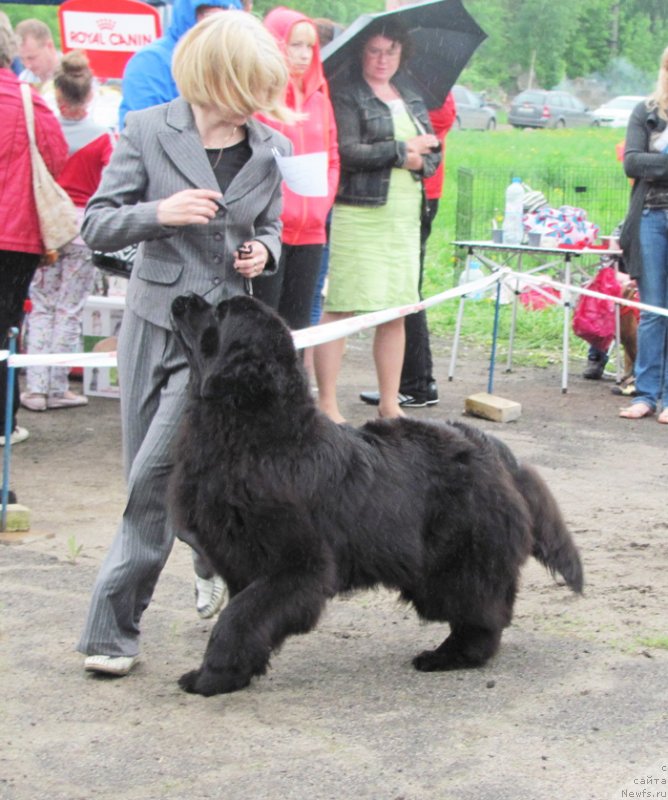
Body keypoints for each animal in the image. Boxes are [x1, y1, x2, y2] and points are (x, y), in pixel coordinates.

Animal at [170, 292, 580, 692]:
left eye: (220, 313)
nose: (182, 297)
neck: (252, 438)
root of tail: (489, 445)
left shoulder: (296, 566)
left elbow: (238, 618)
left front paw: (210, 678)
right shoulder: (240, 558)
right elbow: (244, 617)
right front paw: (237, 673)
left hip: (459, 564)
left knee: (482, 614)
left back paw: (449, 656)